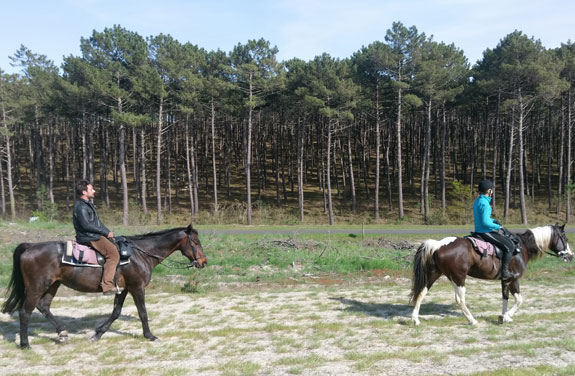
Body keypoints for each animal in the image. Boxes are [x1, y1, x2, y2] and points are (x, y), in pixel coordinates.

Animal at [1, 223, 208, 350]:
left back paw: (63, 333)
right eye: (196, 242)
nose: (203, 262)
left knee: (43, 307)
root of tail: (30, 247)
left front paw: (98, 334)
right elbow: (143, 312)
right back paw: (25, 344)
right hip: (36, 287)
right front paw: (150, 335)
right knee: (25, 312)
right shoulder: (137, 287)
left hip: (52, 285)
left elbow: (115, 312)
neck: (141, 254)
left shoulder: (123, 289)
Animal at [410, 223, 572, 326]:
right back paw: (472, 320)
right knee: (460, 300)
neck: (521, 247)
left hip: (434, 274)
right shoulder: (514, 279)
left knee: (421, 293)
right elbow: (519, 300)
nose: (570, 256)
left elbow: (505, 298)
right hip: (458, 278)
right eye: (564, 238)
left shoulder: (505, 280)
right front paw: (506, 316)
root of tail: (438, 245)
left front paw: (504, 317)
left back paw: (415, 319)